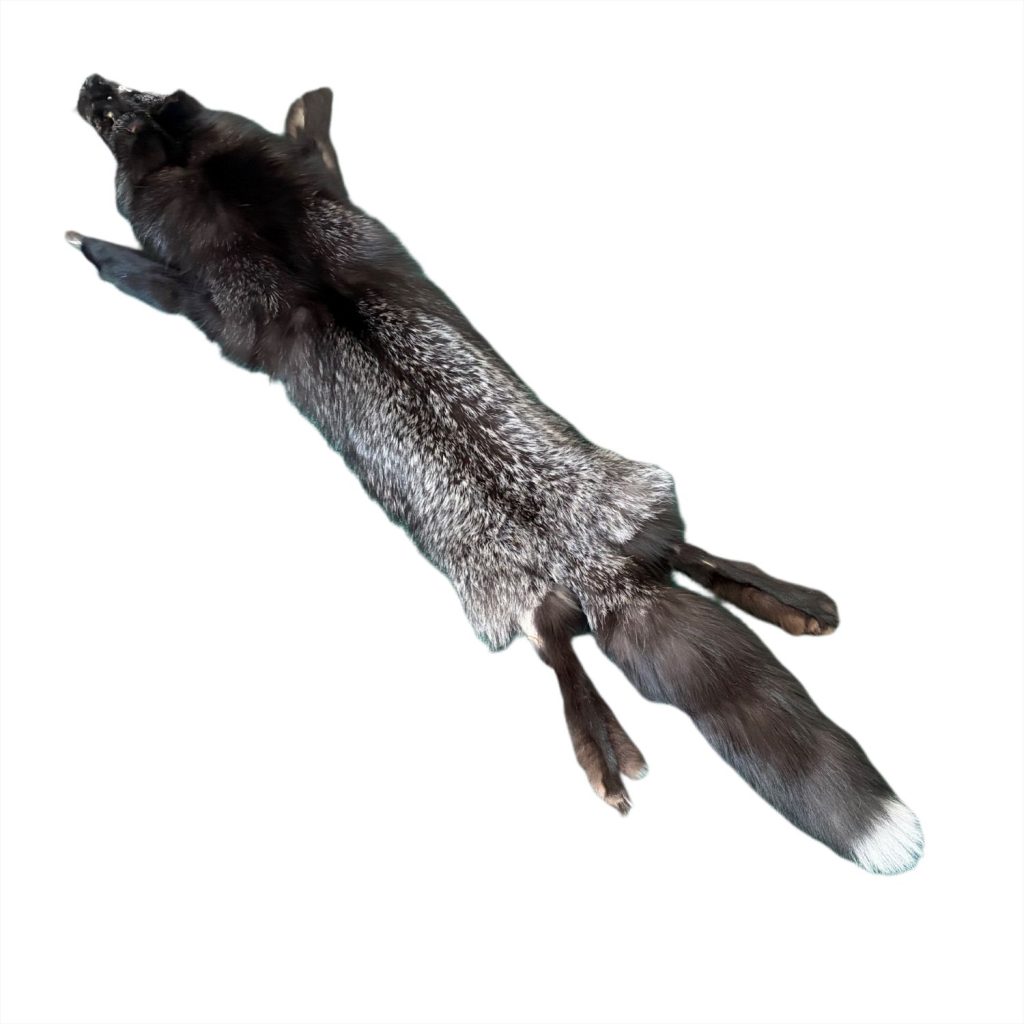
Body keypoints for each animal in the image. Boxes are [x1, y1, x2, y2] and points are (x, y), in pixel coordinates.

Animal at [69, 75, 923, 874]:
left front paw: (93, 246)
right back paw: (789, 604)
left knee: (560, 654)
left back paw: (603, 750)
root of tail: (603, 574)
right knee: (688, 557)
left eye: (119, 115)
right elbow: (317, 149)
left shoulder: (214, 308)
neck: (259, 221)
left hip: (513, 601)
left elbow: (153, 275)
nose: (89, 83)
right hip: (642, 500)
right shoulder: (322, 193)